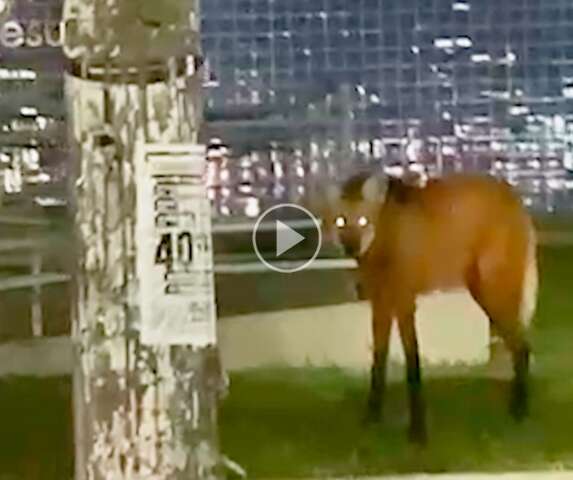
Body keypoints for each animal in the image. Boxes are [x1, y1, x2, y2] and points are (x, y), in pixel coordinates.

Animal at [322, 171, 536, 444]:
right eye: (340, 221)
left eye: (362, 221)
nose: (351, 247)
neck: (384, 237)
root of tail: (516, 200)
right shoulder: (380, 302)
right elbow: (378, 359)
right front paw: (372, 417)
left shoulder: (404, 299)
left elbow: (412, 361)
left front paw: (417, 430)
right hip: (484, 290)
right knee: (520, 345)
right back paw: (517, 408)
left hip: (492, 289)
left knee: (522, 346)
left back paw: (520, 410)